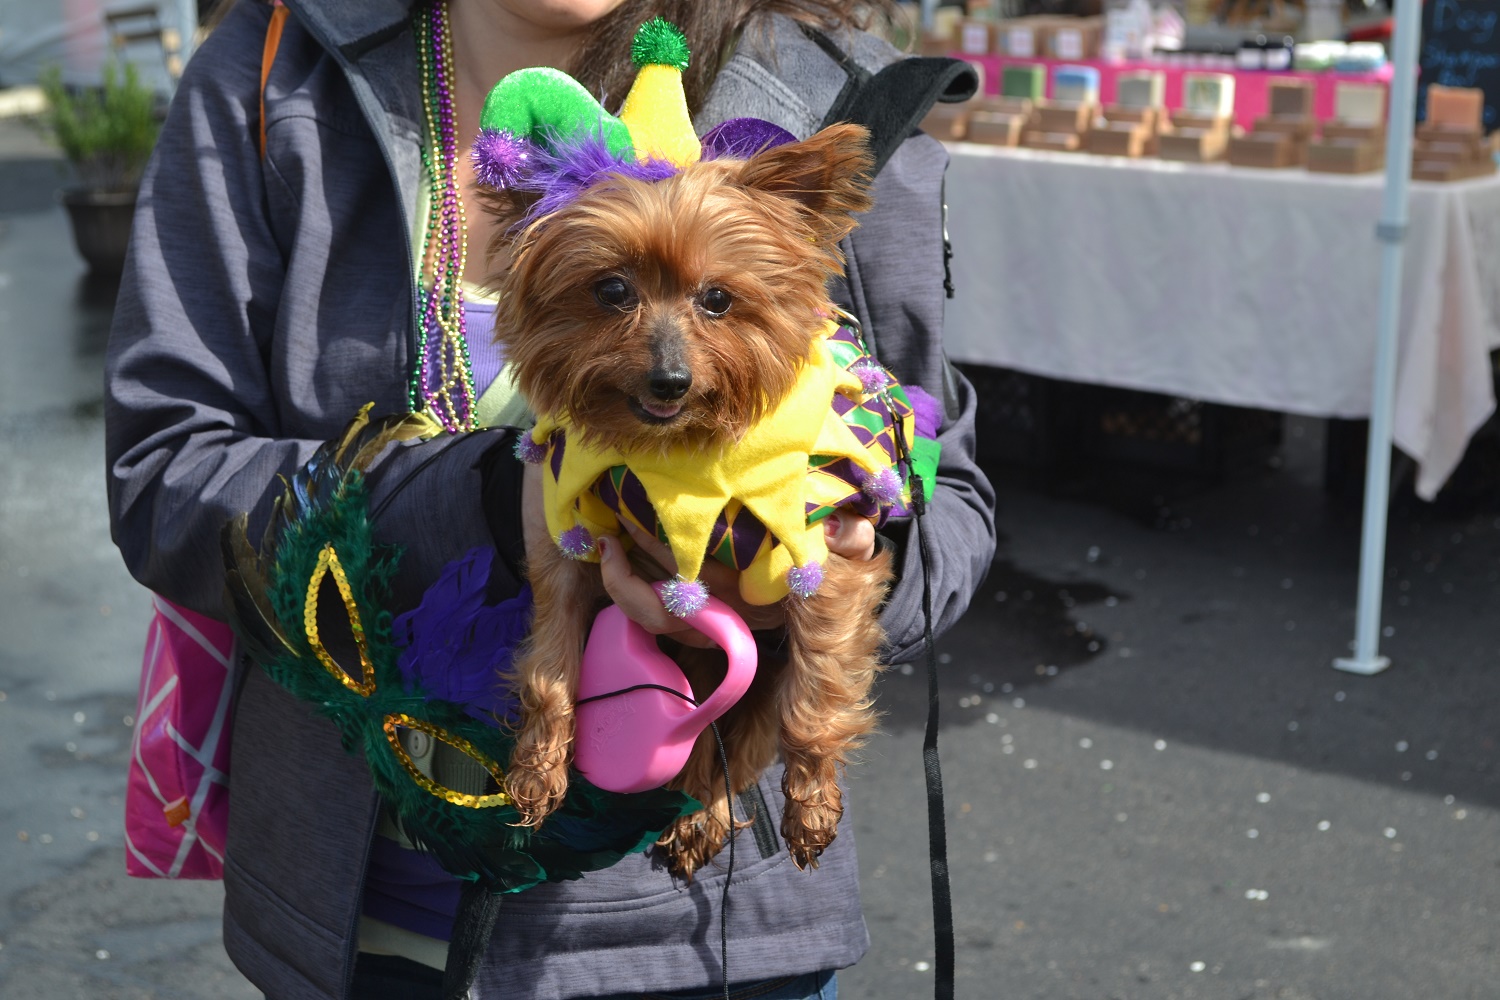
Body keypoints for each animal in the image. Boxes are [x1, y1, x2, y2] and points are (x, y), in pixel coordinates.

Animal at [486, 122, 894, 875]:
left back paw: (705, 815)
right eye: (612, 289)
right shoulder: (567, 542)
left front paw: (812, 805)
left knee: (733, 749)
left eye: (718, 299)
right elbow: (552, 663)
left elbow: (817, 693)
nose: (671, 380)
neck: (677, 463)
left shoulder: (822, 561)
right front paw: (536, 768)